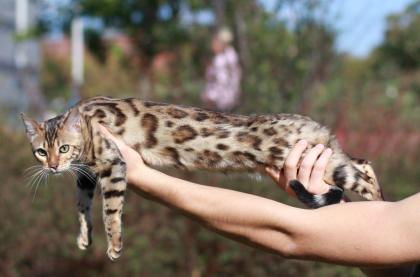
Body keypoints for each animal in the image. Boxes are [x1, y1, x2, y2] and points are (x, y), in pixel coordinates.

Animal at [20, 96, 384, 260]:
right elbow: (82, 207)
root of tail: (315, 124)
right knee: (365, 164)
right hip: (330, 157)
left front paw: (114, 245)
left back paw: (380, 209)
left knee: (364, 179)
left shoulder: (113, 162)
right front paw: (84, 236)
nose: (53, 167)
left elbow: (110, 211)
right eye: (40, 152)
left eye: (63, 148)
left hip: (325, 163)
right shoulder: (86, 175)